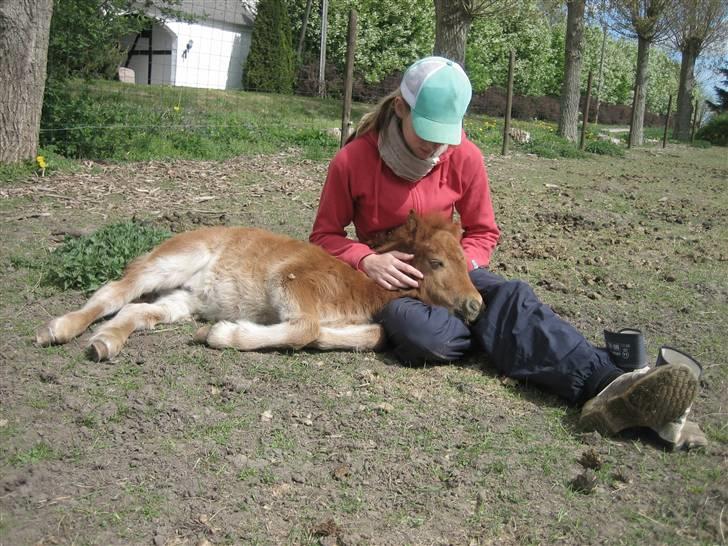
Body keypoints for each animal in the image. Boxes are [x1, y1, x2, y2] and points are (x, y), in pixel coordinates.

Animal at [35, 210, 484, 360]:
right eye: (437, 262)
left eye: (466, 260)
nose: (475, 304)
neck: (356, 285)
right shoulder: (291, 283)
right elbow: (304, 328)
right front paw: (222, 334)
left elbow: (370, 335)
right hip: (172, 262)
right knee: (116, 290)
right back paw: (58, 329)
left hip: (185, 299)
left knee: (139, 310)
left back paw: (105, 343)